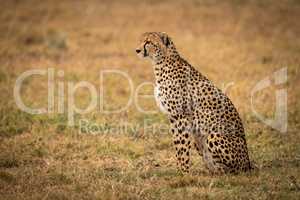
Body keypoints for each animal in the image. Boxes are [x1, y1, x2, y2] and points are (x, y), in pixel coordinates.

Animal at [135, 32, 251, 174]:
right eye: (140, 41)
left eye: (148, 42)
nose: (137, 50)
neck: (160, 62)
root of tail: (248, 163)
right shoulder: (173, 117)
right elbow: (178, 143)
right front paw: (180, 169)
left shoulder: (180, 116)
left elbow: (182, 145)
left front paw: (183, 171)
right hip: (198, 138)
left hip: (213, 135)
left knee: (233, 170)